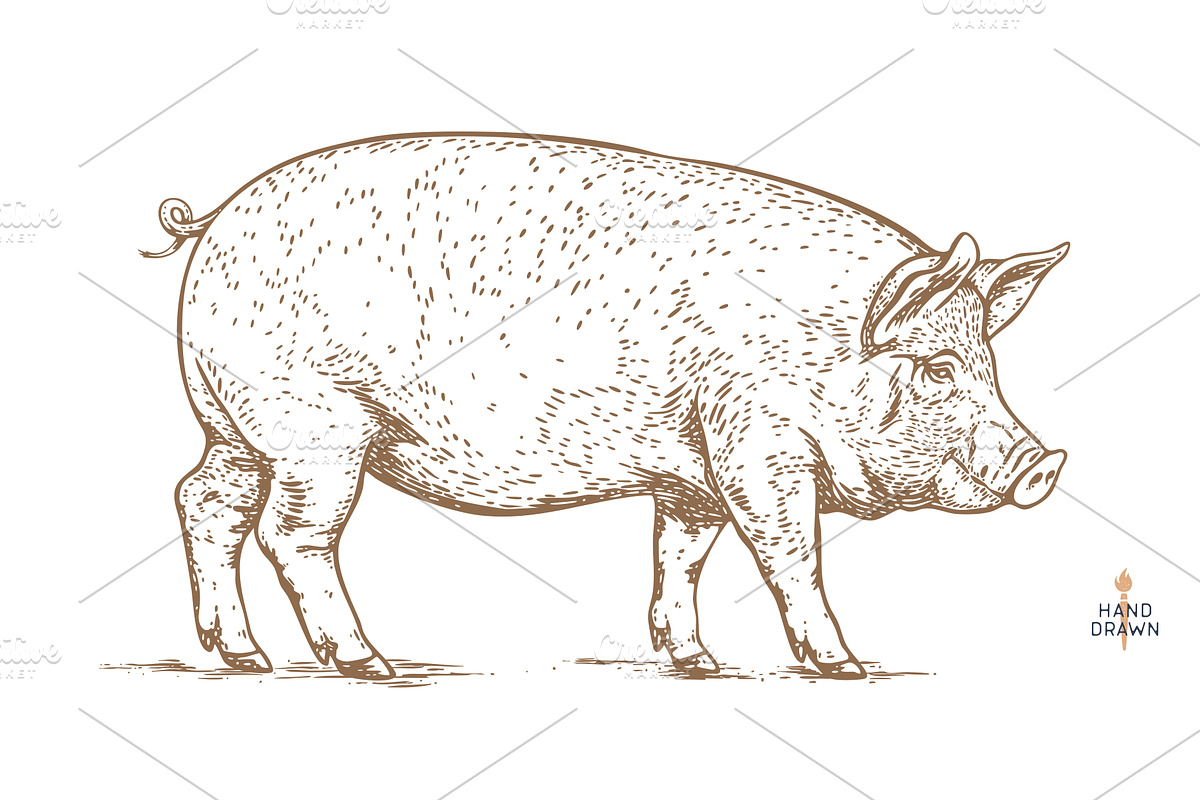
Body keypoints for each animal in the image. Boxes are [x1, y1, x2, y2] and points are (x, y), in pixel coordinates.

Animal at [144, 132, 1068, 680]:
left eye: (990, 364)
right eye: (939, 369)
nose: (1045, 462)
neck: (826, 354)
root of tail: (215, 223)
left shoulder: (692, 472)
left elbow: (680, 556)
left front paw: (695, 662)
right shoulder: (754, 447)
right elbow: (791, 555)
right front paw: (844, 667)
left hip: (234, 429)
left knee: (204, 502)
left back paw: (245, 658)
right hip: (319, 431)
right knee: (292, 537)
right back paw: (370, 665)